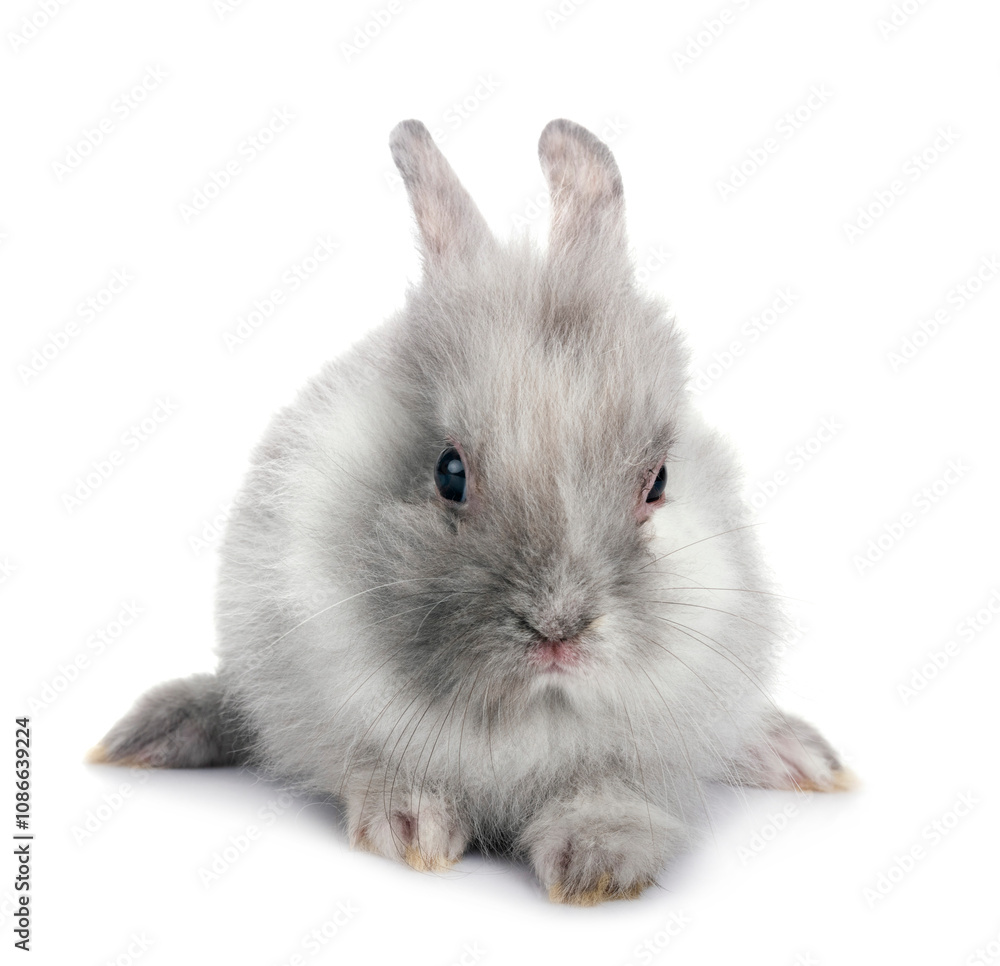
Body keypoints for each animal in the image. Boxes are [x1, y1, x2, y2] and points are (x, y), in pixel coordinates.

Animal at [88, 118, 854, 905]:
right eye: (449, 472)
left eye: (659, 481)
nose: (557, 629)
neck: (532, 709)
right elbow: (381, 768)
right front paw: (411, 829)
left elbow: (611, 789)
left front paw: (598, 864)